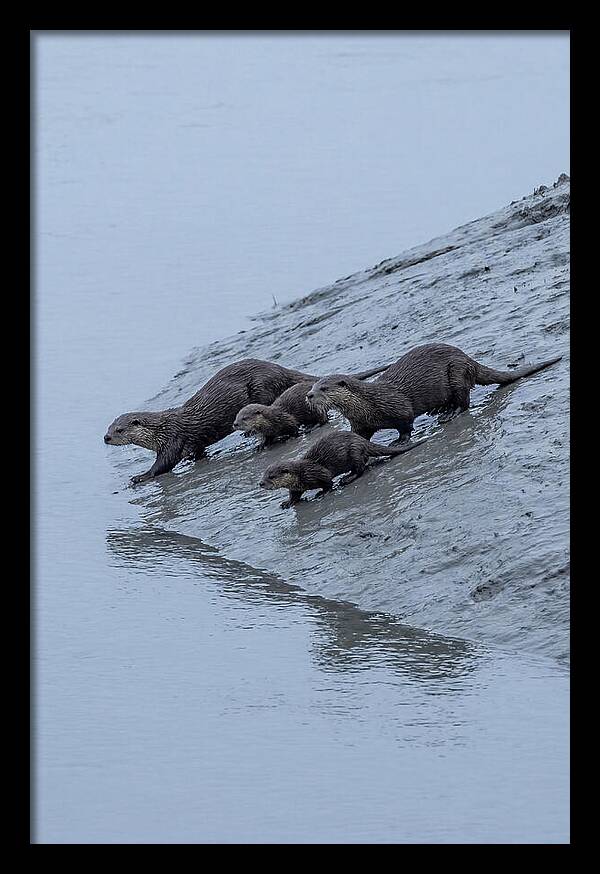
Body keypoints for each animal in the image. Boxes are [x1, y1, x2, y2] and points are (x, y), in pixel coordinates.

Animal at [232, 365, 390, 446]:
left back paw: (312, 427)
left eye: (244, 418)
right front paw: (262, 445)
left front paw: (292, 436)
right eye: (236, 416)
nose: (235, 424)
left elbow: (293, 428)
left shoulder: (286, 419)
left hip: (316, 409)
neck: (271, 420)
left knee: (323, 419)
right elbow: (267, 438)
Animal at [259, 431, 427, 508]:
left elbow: (328, 483)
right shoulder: (296, 487)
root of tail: (362, 440)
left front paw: (321, 493)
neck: (301, 474)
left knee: (361, 468)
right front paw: (287, 503)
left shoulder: (318, 473)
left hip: (354, 451)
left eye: (271, 476)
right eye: (264, 474)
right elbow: (294, 496)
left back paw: (347, 479)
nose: (260, 484)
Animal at [307, 343, 562, 442]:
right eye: (312, 387)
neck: (368, 404)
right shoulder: (360, 424)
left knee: (464, 400)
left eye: (324, 388)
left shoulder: (398, 407)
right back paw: (440, 410)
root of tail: (468, 359)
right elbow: (359, 437)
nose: (308, 396)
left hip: (456, 372)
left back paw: (450, 413)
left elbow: (406, 424)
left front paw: (400, 441)